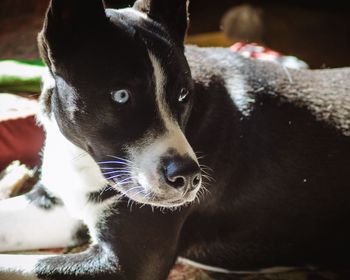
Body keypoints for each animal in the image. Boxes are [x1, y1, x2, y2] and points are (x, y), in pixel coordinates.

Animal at [0, 0, 350, 278]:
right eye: (121, 95)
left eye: (183, 94)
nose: (187, 178)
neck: (81, 158)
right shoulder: (58, 205)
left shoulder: (124, 264)